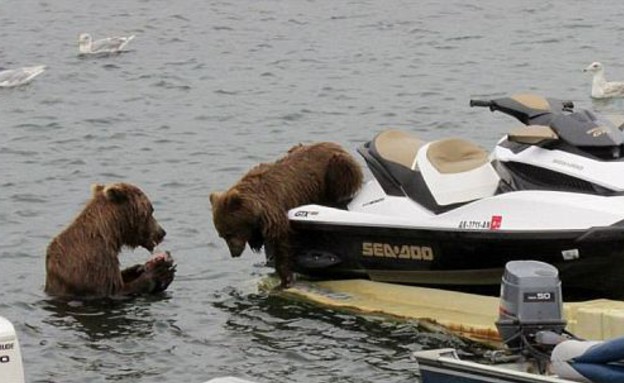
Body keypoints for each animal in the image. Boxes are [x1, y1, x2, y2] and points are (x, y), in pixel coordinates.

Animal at [45, 184, 176, 300]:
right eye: (151, 210)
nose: (162, 233)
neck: (110, 233)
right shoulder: (95, 261)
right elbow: (114, 290)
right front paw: (159, 273)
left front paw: (137, 268)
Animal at [210, 143, 364, 288]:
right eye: (222, 235)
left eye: (229, 233)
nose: (234, 253)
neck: (257, 208)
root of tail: (335, 145)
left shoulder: (274, 210)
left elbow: (281, 242)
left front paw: (285, 279)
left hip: (335, 168)